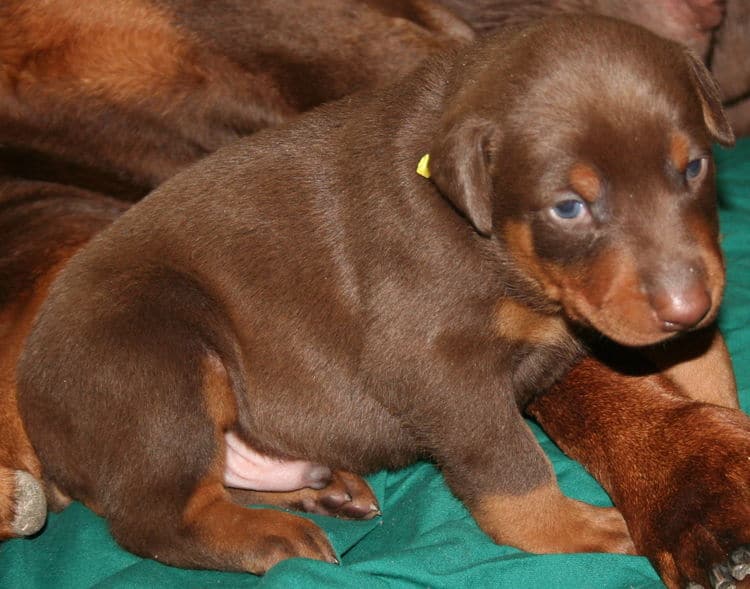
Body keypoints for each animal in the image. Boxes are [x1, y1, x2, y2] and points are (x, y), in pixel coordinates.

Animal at [13, 16, 748, 584]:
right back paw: (271, 536)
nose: (686, 304)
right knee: (155, 516)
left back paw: (323, 488)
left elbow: (703, 366)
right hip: (159, 349)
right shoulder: (435, 367)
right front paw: (579, 528)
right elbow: (510, 469)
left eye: (693, 166)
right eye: (569, 207)